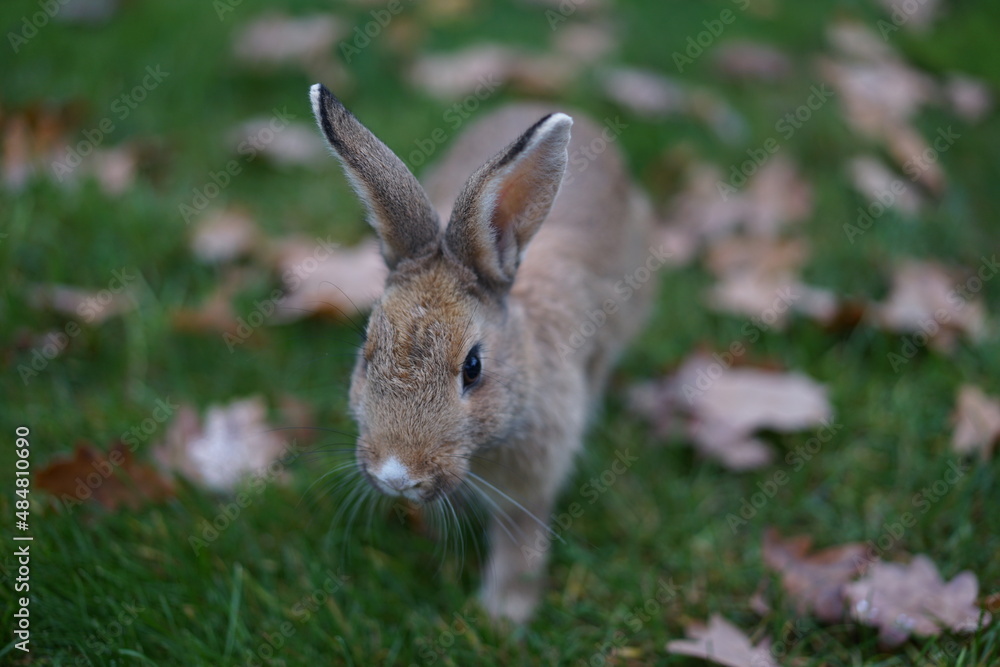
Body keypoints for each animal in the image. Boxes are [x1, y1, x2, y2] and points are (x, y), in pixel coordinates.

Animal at [309, 83, 656, 623]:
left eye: (473, 368)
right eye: (366, 354)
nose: (397, 475)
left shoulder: (532, 482)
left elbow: (520, 536)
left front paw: (505, 614)